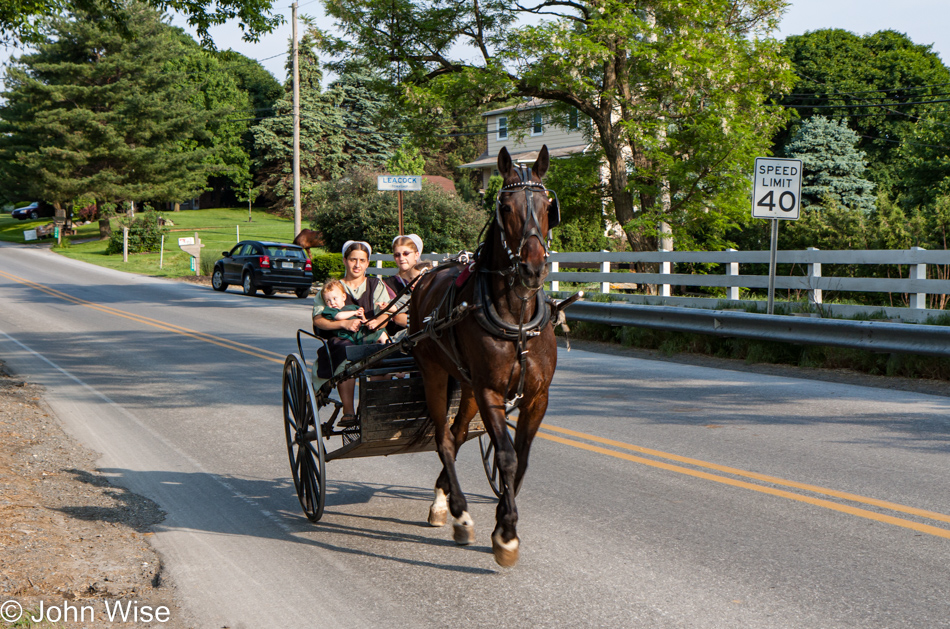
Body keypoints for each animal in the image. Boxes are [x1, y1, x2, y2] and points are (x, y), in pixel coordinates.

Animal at [408, 146, 556, 564]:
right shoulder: (490, 391)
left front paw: (503, 517)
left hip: (467, 386)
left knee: (457, 435)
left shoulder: (537, 396)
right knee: (443, 438)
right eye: (505, 206)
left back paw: (444, 499)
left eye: (547, 205)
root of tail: (425, 276)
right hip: (435, 372)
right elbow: (504, 456)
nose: (533, 266)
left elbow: (521, 458)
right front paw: (506, 533)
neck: (516, 317)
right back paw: (458, 511)